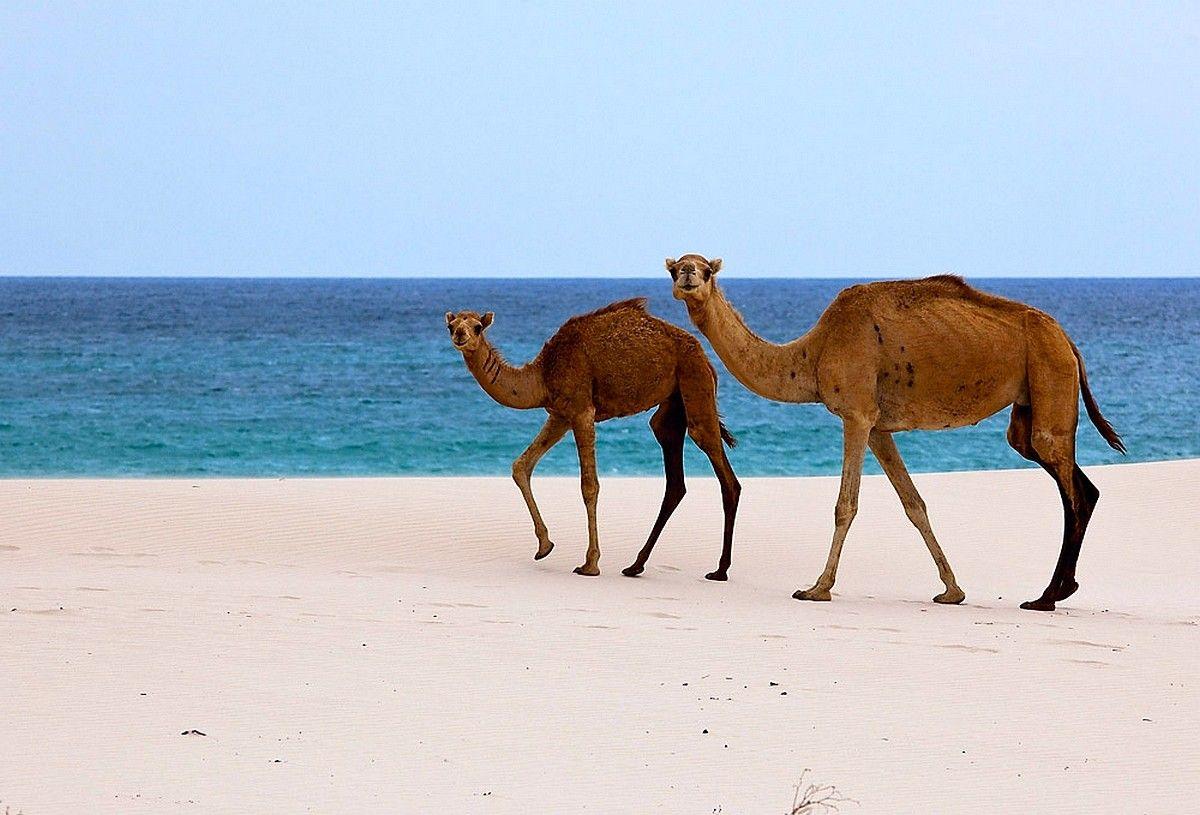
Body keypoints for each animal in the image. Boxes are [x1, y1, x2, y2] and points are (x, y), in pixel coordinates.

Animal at [446, 300, 734, 580]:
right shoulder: (560, 415)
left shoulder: (582, 411)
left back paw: (719, 571)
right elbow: (521, 466)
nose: (460, 335)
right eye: (451, 325)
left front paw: (590, 564)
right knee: (673, 472)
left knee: (723, 473)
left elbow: (589, 486)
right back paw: (635, 566)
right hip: (674, 403)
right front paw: (544, 546)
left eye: (477, 327)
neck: (543, 374)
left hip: (695, 380)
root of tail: (706, 359)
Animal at [672, 254, 1118, 612]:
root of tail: (1068, 340)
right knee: (1072, 479)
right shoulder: (877, 426)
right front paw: (952, 591)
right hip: (1031, 403)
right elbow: (914, 503)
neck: (811, 355)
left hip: (1050, 372)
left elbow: (845, 505)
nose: (689, 276)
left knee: (1071, 488)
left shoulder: (855, 414)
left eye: (707, 270)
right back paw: (1057, 591)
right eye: (676, 267)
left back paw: (1047, 597)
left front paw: (817, 588)